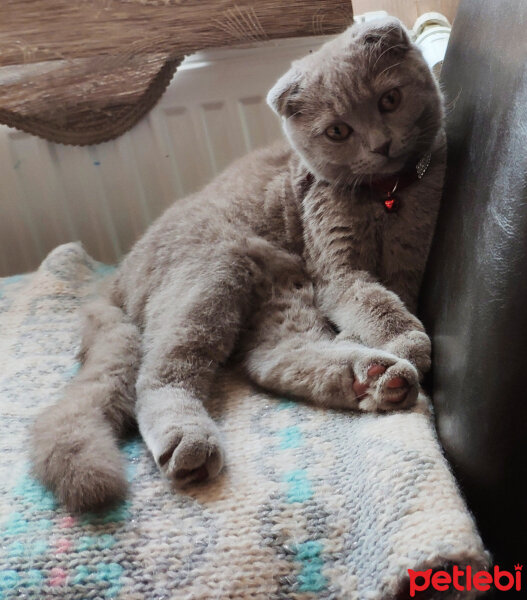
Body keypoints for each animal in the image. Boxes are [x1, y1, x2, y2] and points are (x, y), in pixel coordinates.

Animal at [31, 18, 448, 512]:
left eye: (389, 100)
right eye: (338, 131)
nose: (381, 145)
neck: (387, 198)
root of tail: (115, 280)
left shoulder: (411, 259)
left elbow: (386, 298)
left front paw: (387, 341)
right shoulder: (335, 271)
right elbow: (372, 301)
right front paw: (406, 340)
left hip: (281, 288)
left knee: (271, 360)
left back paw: (375, 378)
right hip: (214, 273)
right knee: (157, 378)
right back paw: (188, 441)